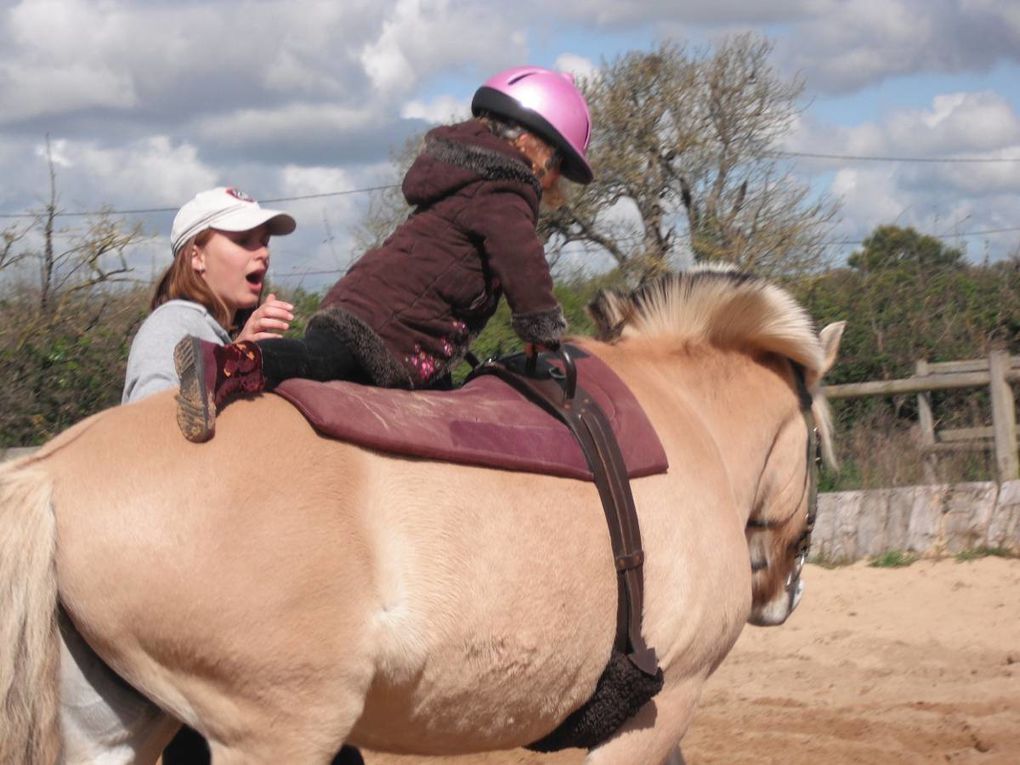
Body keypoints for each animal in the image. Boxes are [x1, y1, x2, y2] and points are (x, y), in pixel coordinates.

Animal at [0, 269, 840, 765]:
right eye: (818, 443)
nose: (784, 590)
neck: (684, 419)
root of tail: (55, 469)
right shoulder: (662, 707)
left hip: (112, 729)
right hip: (277, 733)